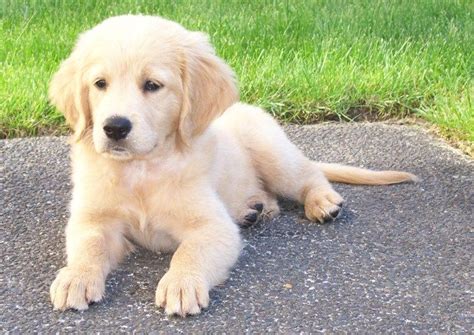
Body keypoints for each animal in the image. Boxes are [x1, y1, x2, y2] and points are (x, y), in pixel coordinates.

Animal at [49, 13, 418, 318]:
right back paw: (254, 209)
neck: (141, 170)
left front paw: (181, 284)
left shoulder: (213, 227)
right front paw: (75, 277)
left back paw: (322, 202)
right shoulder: (93, 218)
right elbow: (89, 246)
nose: (114, 128)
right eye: (100, 83)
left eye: (152, 85)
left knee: (308, 174)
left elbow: (189, 252)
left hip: (274, 153)